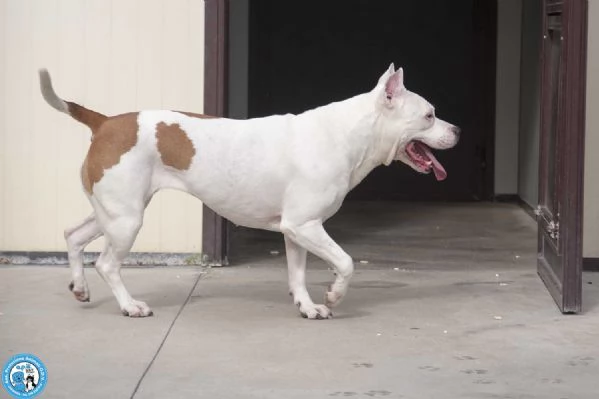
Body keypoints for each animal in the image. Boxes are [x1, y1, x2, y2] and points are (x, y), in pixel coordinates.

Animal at [38, 65, 460, 318]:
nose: (458, 130)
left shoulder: (296, 230)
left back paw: (80, 288)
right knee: (107, 263)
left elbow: (297, 274)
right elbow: (345, 262)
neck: (348, 132)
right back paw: (129, 305)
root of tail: (106, 122)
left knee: (73, 235)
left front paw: (307, 306)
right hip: (126, 220)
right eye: (429, 115)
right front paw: (334, 296)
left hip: (113, 213)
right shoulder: (306, 226)